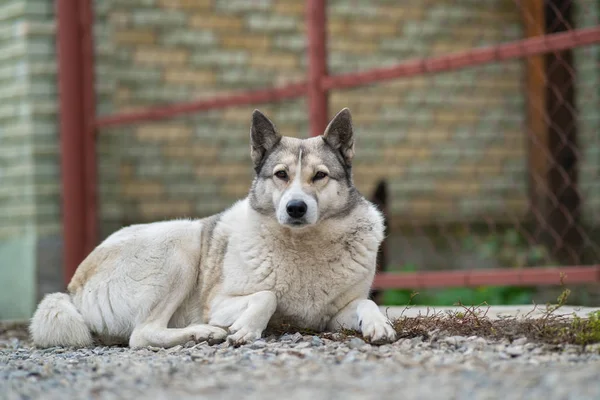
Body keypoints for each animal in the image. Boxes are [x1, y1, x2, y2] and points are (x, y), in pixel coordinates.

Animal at [31, 108, 398, 348]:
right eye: (280, 174)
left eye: (319, 176)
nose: (296, 208)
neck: (303, 244)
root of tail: (73, 288)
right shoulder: (219, 302)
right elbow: (267, 296)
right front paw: (245, 328)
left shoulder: (334, 316)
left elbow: (367, 304)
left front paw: (379, 324)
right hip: (181, 243)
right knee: (142, 334)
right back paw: (203, 332)